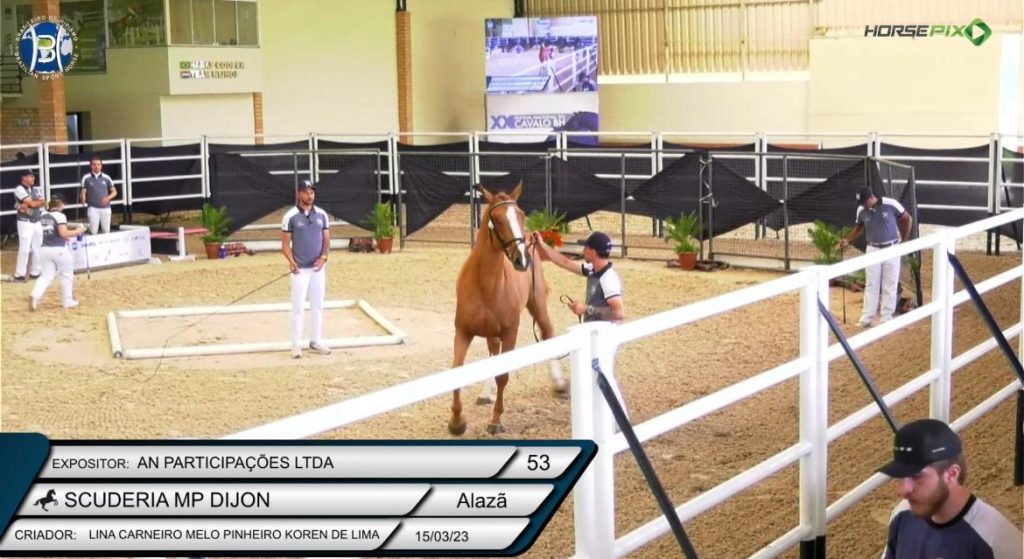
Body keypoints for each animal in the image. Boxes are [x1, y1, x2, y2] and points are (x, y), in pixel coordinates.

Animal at [449, 182, 567, 435]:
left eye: (521, 215)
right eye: (498, 220)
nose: (521, 259)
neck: (484, 283)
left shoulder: (509, 332)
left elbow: (503, 376)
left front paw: (495, 421)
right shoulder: (463, 332)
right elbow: (457, 370)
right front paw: (456, 423)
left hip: (537, 305)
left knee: (547, 333)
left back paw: (560, 384)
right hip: (491, 332)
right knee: (494, 353)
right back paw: (486, 394)